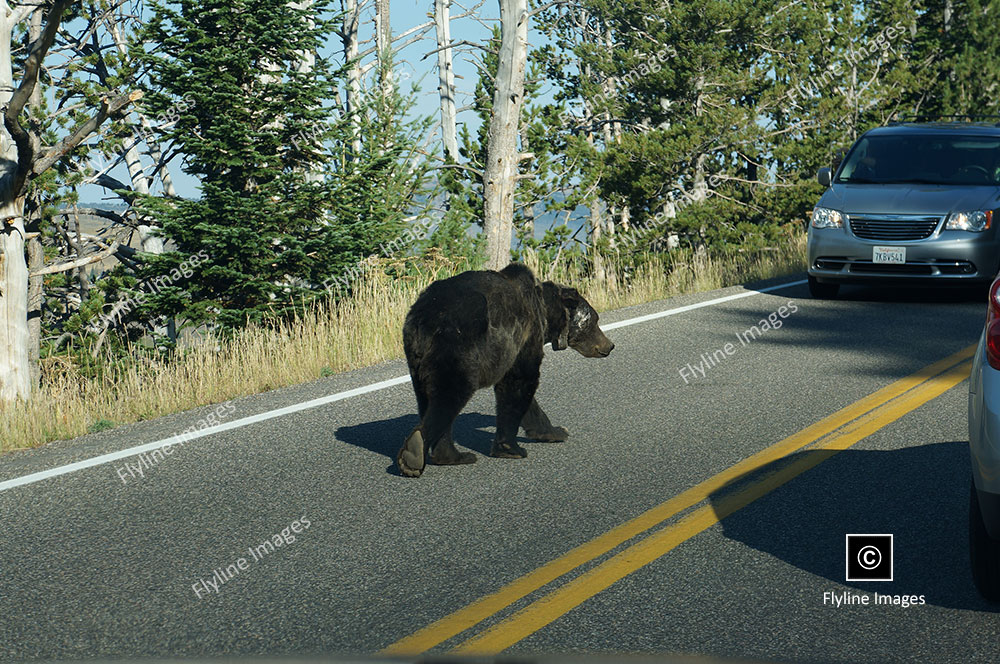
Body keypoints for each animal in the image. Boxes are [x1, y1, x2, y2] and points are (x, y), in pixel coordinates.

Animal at [394, 264, 612, 478]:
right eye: (595, 320)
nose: (609, 345)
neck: (545, 314)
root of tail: (425, 317)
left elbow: (524, 395)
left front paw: (556, 431)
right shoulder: (524, 335)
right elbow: (520, 383)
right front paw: (511, 448)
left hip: (417, 359)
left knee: (426, 397)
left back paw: (452, 456)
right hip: (458, 346)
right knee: (450, 394)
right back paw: (416, 452)